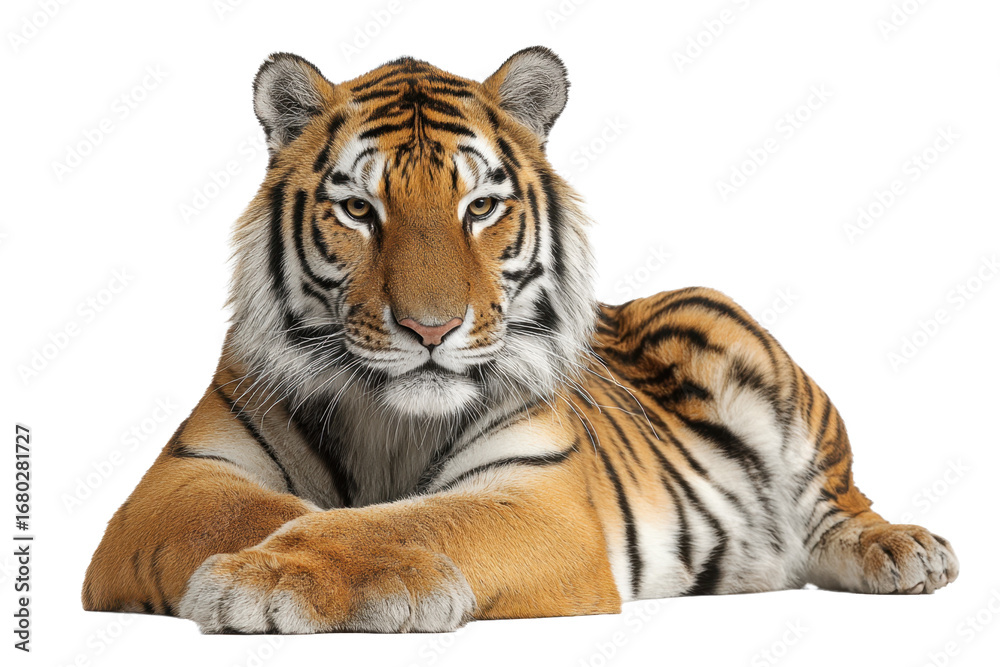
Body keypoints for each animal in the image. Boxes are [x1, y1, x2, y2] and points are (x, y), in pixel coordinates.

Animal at [82, 47, 959, 633]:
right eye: (360, 209)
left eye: (480, 208)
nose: (430, 328)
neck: (388, 421)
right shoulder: (178, 478)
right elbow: (255, 511)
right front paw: (269, 564)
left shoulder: (538, 492)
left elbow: (406, 518)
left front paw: (281, 575)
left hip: (727, 325)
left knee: (836, 502)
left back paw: (903, 550)